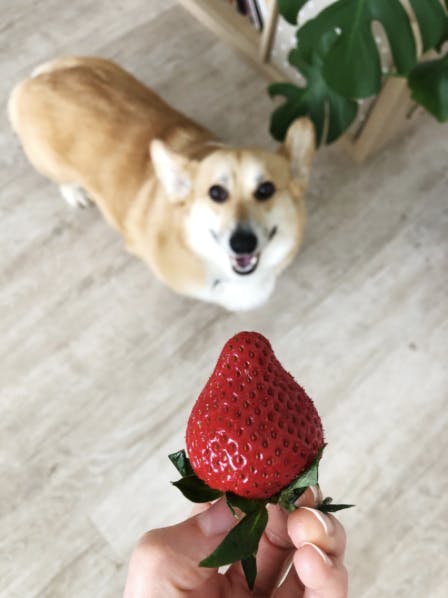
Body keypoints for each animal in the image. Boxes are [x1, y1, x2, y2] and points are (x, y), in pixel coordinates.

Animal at [7, 56, 316, 312]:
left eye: (266, 190)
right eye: (216, 193)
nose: (242, 243)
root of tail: (37, 79)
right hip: (49, 162)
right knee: (61, 179)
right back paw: (75, 192)